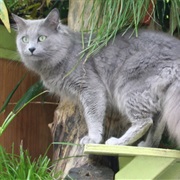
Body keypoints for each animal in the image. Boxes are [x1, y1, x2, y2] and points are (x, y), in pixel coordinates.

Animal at [12, 8, 180, 147]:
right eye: (24, 39)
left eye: (41, 38)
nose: (31, 49)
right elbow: (90, 116)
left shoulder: (91, 89)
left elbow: (93, 117)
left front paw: (93, 139)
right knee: (158, 123)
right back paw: (147, 145)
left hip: (128, 87)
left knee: (144, 121)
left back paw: (117, 142)